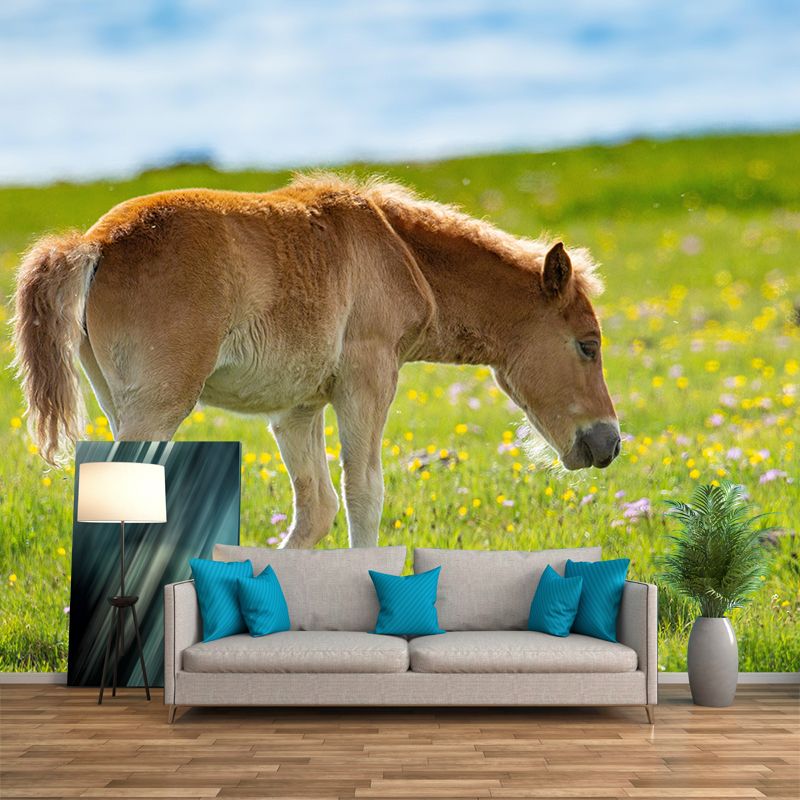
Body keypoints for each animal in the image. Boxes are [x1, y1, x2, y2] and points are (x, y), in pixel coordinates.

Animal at [13, 174, 620, 548]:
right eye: (587, 344)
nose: (610, 443)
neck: (398, 253)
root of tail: (93, 245)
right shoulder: (367, 382)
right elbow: (364, 494)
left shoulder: (297, 410)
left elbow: (317, 507)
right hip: (159, 409)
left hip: (119, 403)